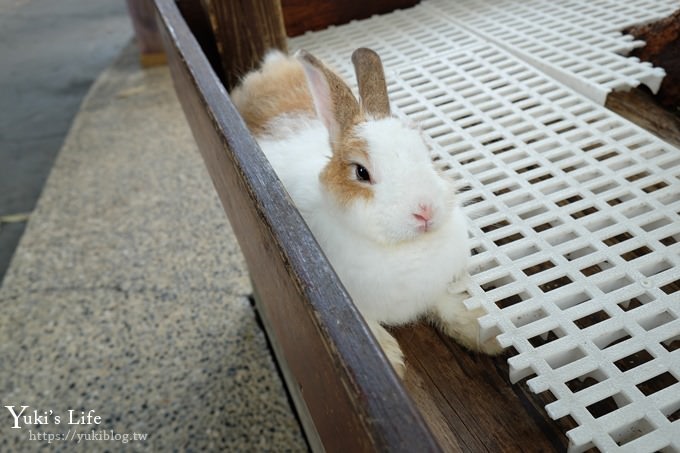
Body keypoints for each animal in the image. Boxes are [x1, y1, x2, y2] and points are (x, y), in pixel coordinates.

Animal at [231, 47, 502, 376]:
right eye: (361, 172)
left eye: (426, 154)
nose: (425, 211)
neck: (405, 249)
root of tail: (271, 67)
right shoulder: (353, 305)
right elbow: (370, 328)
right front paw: (392, 360)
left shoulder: (433, 289)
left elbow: (447, 306)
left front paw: (484, 334)